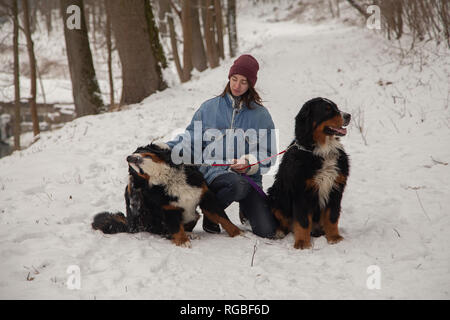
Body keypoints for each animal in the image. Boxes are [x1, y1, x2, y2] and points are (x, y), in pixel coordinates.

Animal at [89, 142, 241, 248]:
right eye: (133, 170)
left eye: (138, 152)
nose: (128, 157)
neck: (168, 177)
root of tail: (130, 225)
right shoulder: (169, 209)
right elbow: (175, 227)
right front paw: (183, 241)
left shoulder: (205, 196)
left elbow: (223, 217)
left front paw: (238, 233)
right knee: (164, 231)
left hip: (193, 215)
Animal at [268, 97, 352, 250]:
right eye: (327, 109)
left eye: (336, 107)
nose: (348, 116)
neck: (321, 150)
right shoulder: (301, 191)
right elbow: (302, 221)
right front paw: (302, 243)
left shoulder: (335, 188)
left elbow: (332, 217)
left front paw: (334, 238)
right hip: (276, 196)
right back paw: (280, 232)